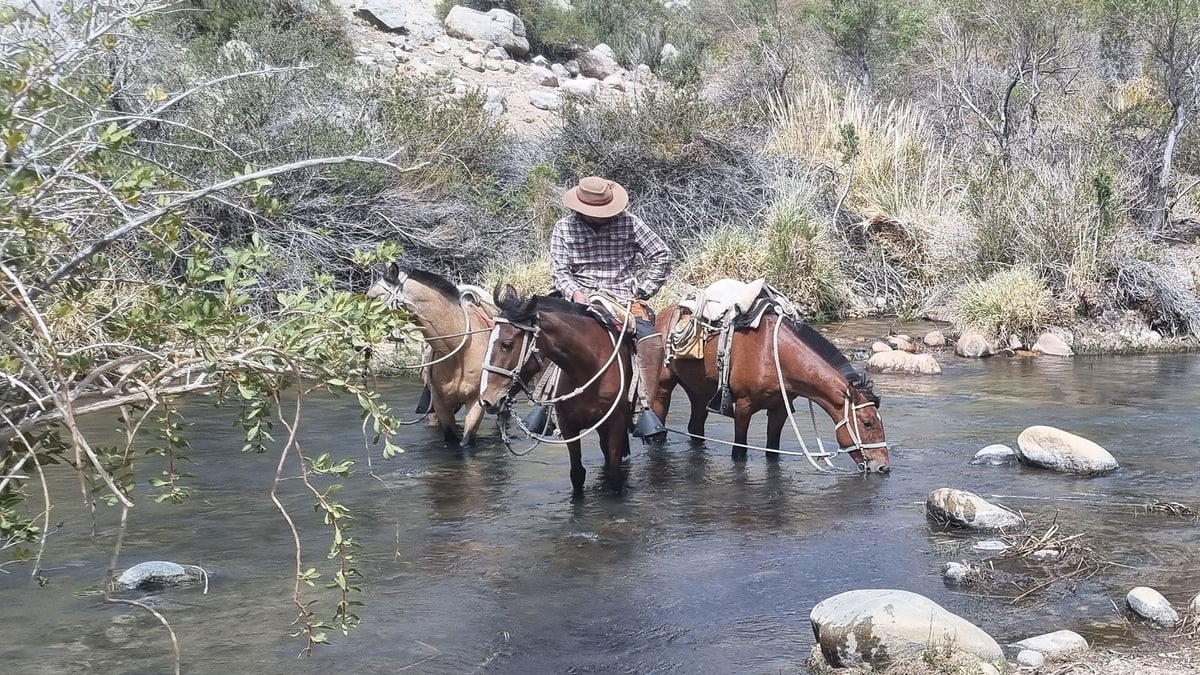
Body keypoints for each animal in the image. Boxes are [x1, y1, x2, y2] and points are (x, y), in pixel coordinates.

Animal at [477, 283, 638, 494]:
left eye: (507, 344)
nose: (487, 400)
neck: (589, 366)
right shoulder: (568, 425)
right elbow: (577, 474)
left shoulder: (616, 422)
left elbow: (615, 475)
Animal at [648, 306, 892, 473]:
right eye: (867, 423)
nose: (883, 467)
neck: (774, 355)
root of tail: (662, 314)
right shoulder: (743, 406)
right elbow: (740, 451)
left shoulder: (780, 409)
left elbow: (772, 451)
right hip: (663, 386)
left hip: (698, 392)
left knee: (696, 429)